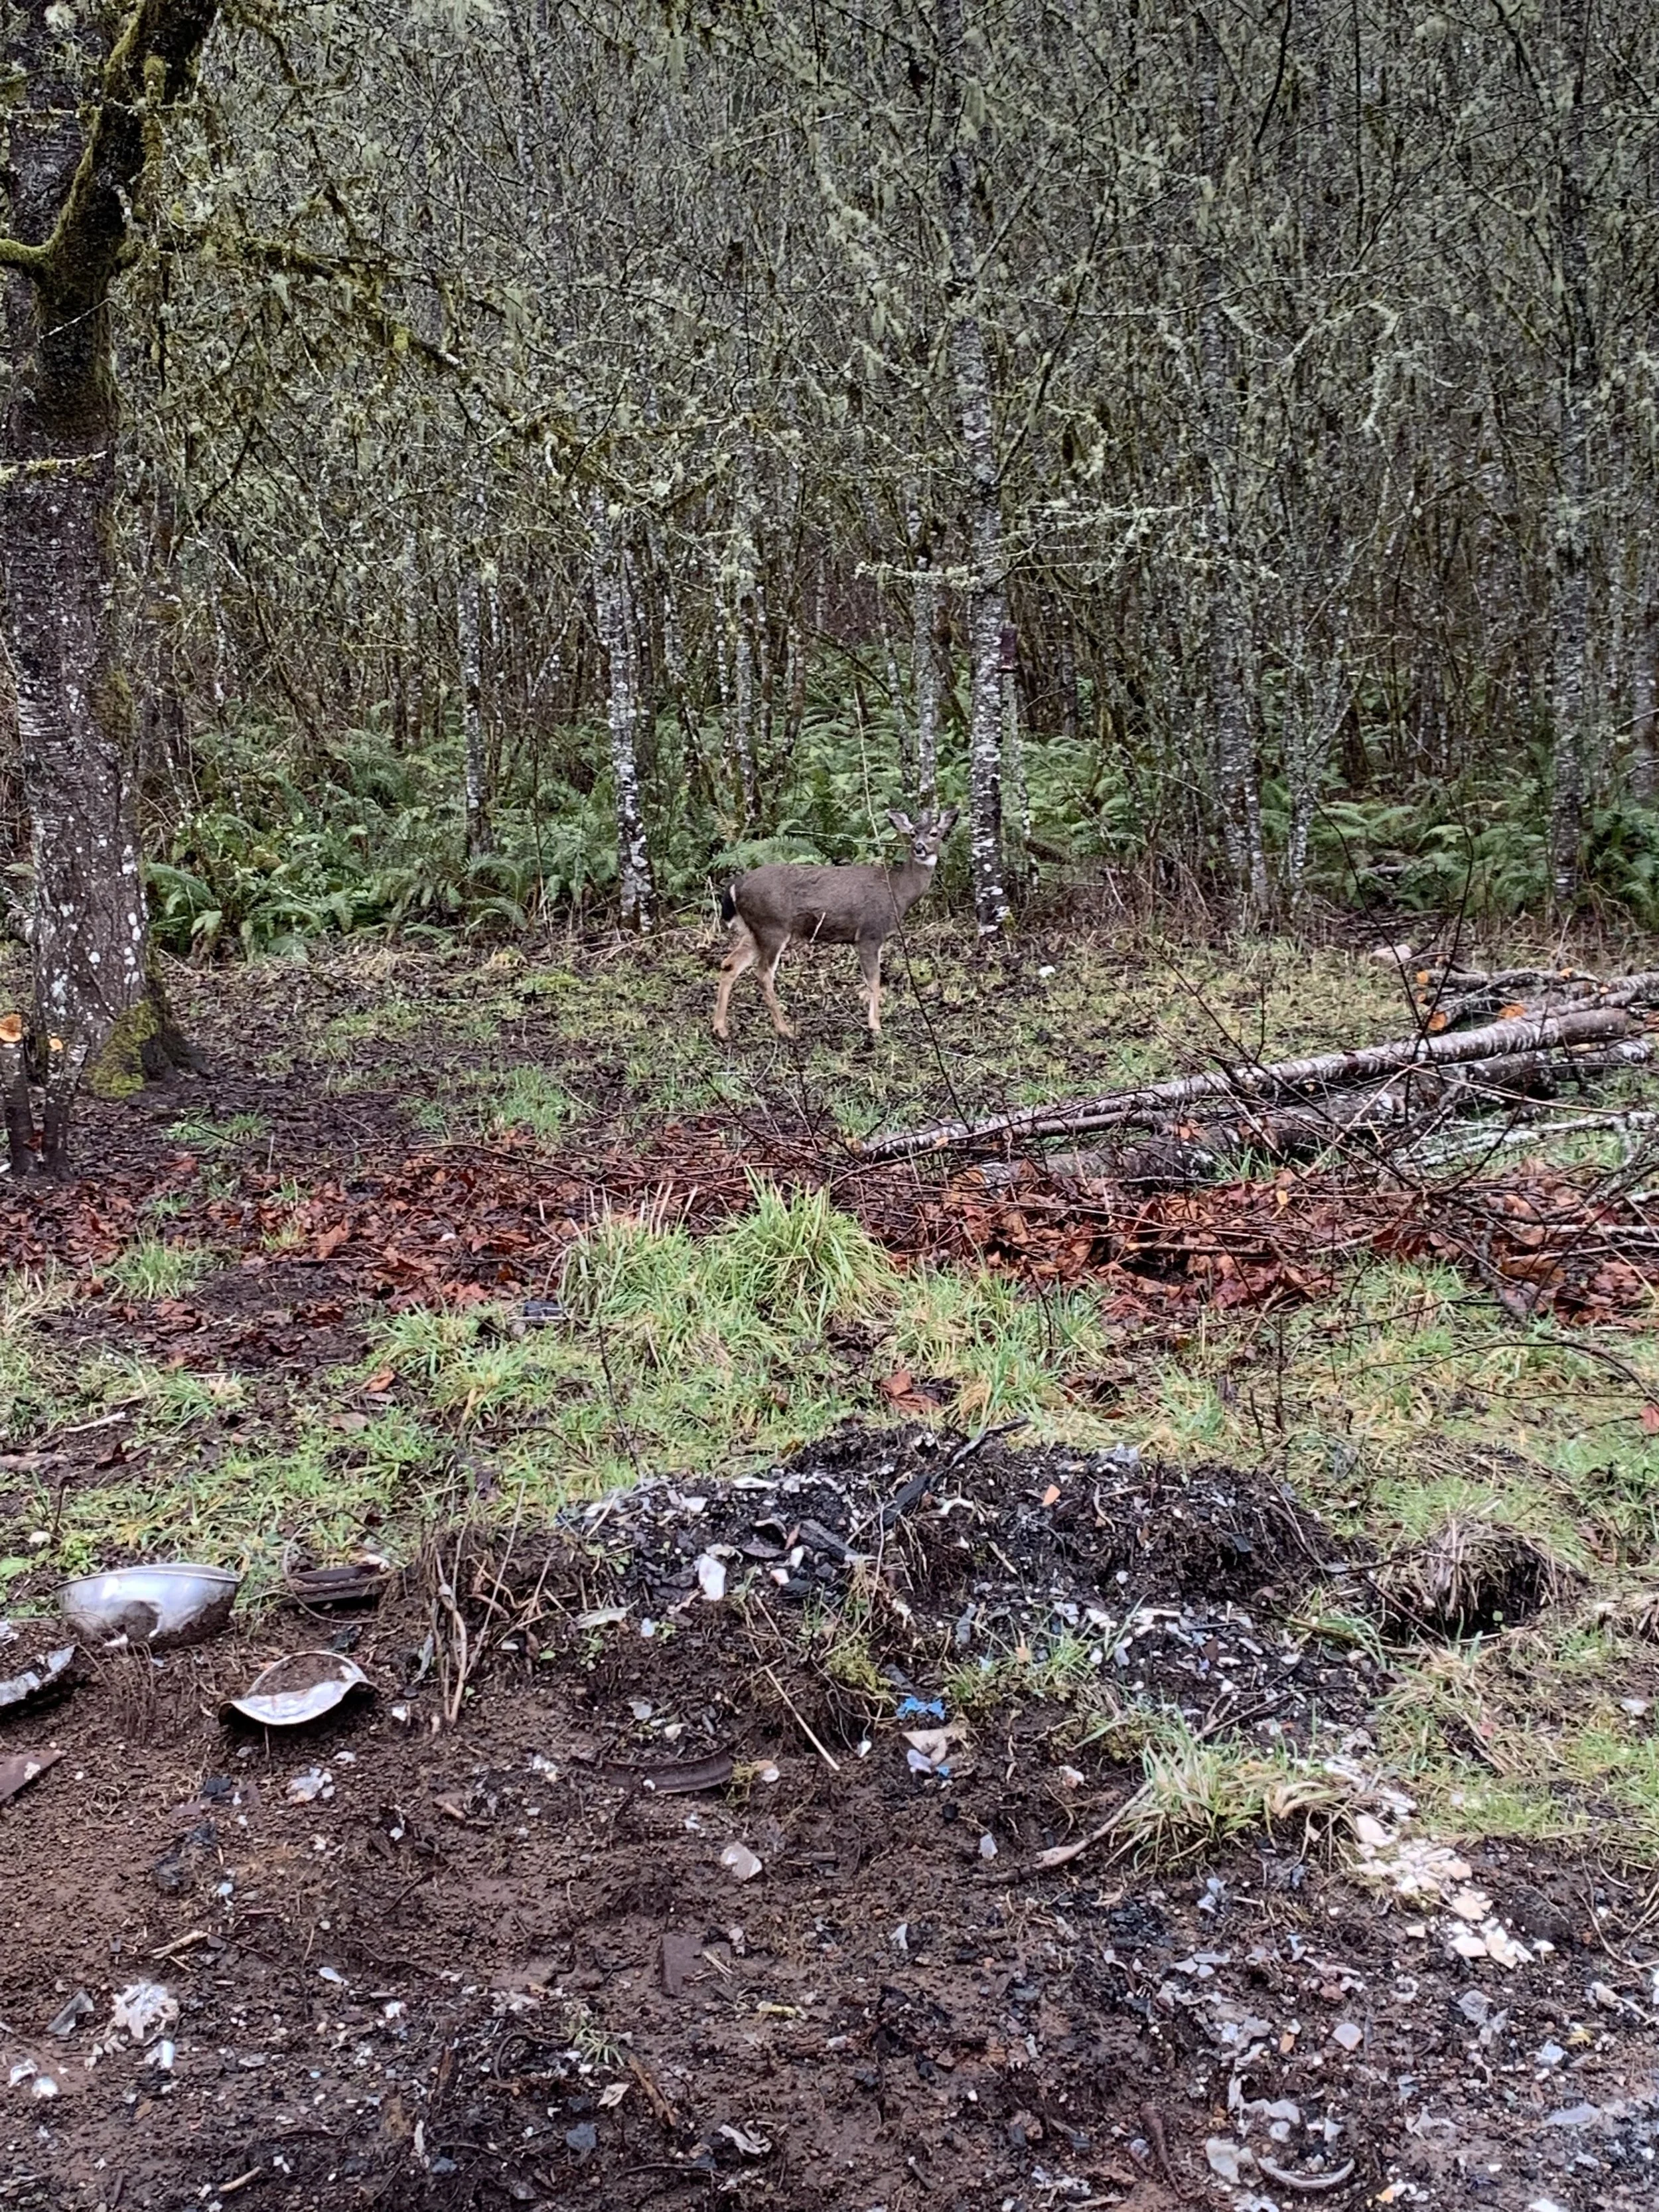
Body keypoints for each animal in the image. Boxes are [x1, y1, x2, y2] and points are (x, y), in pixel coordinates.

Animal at [713, 807, 959, 1042]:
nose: (919, 848)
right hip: (772, 926)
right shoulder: (869, 934)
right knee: (763, 974)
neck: (898, 891)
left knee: (730, 964)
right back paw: (785, 1030)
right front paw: (876, 1028)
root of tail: (735, 885)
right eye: (912, 833)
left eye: (934, 833)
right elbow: (874, 981)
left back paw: (721, 1029)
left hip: (755, 930)